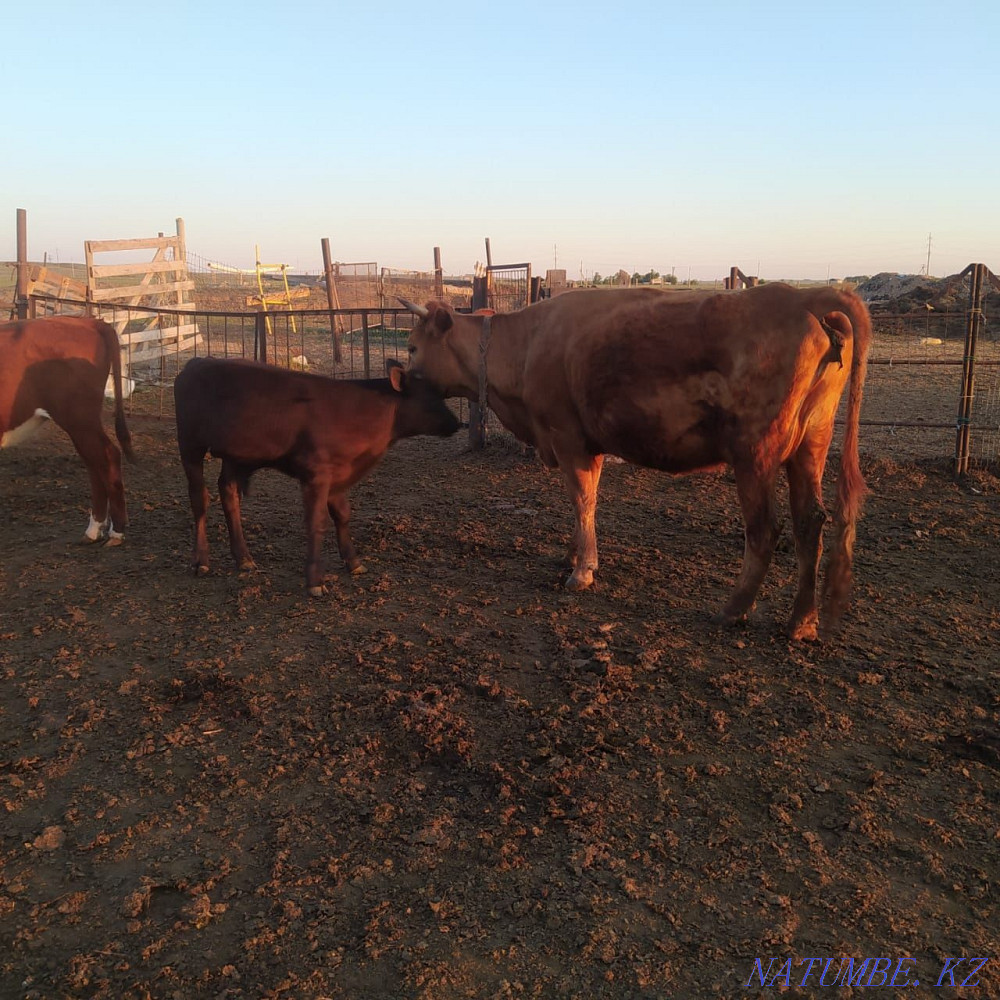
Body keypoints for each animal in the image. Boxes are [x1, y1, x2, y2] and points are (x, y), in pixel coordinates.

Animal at [0, 315, 134, 544]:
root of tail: (87, 321)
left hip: (80, 419)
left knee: (107, 456)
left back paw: (116, 530)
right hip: (80, 424)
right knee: (94, 463)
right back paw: (94, 528)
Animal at [174, 356, 460, 595]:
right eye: (432, 397)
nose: (458, 422)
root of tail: (197, 362)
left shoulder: (338, 473)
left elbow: (342, 514)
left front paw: (354, 562)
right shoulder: (316, 473)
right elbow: (315, 522)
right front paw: (315, 580)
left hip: (237, 455)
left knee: (229, 492)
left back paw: (243, 558)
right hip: (190, 445)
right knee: (199, 498)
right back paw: (201, 561)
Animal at [402, 283, 870, 640]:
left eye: (410, 347)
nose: (399, 380)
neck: (528, 344)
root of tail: (802, 295)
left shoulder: (568, 438)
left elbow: (581, 500)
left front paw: (582, 570)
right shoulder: (589, 444)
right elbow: (585, 504)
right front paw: (574, 554)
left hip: (754, 455)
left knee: (764, 531)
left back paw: (733, 608)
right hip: (810, 444)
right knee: (810, 522)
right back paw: (801, 621)